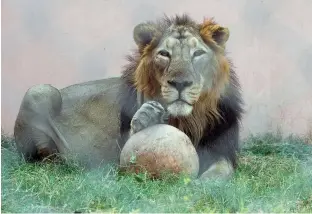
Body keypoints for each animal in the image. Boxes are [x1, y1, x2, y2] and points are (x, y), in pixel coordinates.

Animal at [12, 14, 244, 180]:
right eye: (164, 54)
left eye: (197, 54)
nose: (180, 83)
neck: (188, 120)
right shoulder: (119, 154)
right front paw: (147, 117)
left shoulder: (223, 150)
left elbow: (221, 170)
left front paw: (204, 184)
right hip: (40, 92)